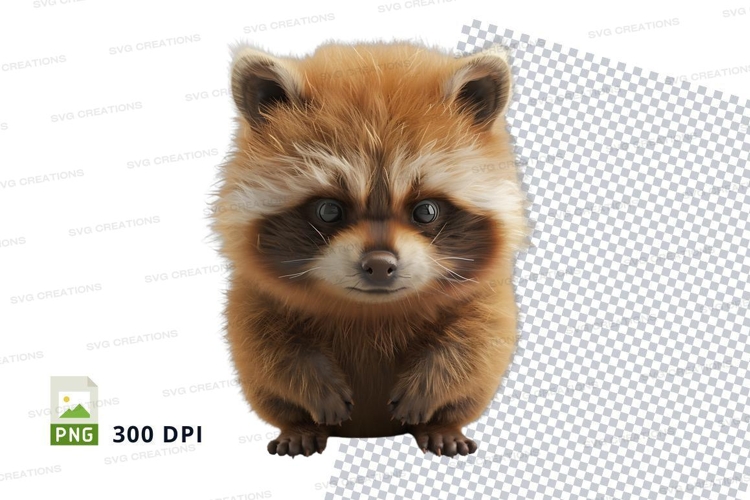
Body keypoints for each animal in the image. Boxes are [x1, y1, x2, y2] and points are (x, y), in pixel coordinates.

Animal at [212, 41, 529, 457]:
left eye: (425, 210)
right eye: (329, 210)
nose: (379, 264)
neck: (372, 310)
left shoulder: (487, 296)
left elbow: (474, 343)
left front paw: (430, 385)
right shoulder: (253, 296)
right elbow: (269, 347)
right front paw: (313, 385)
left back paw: (442, 425)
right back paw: (298, 425)